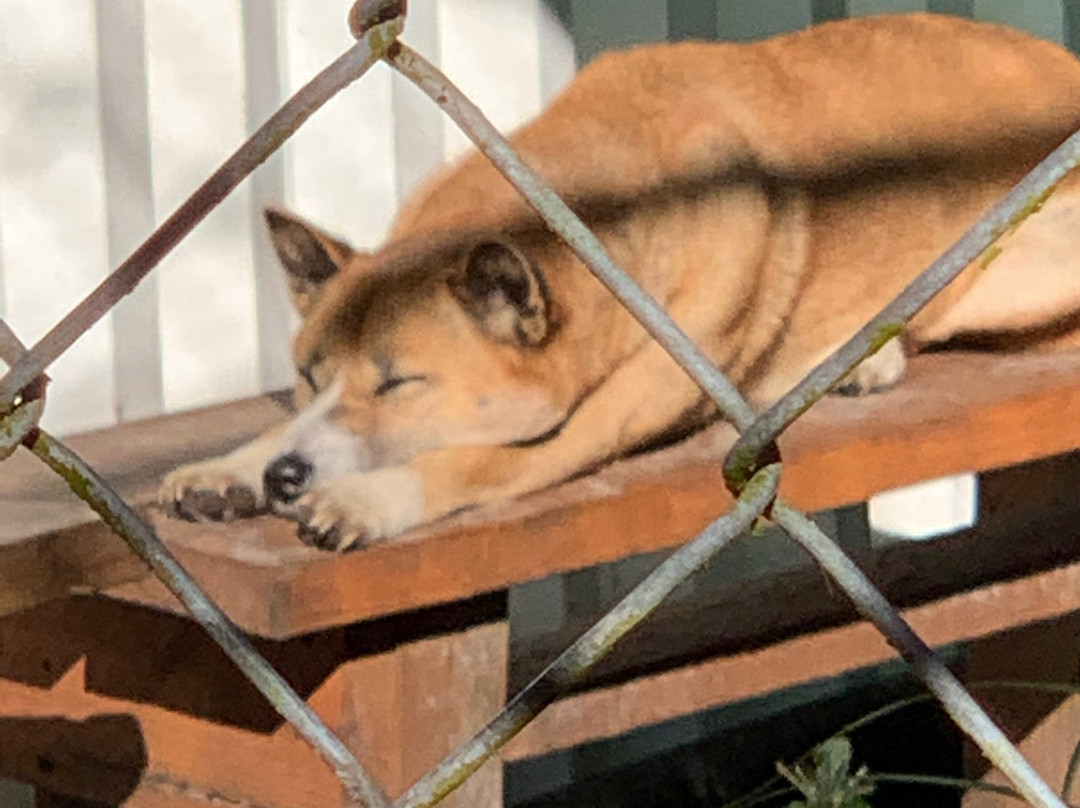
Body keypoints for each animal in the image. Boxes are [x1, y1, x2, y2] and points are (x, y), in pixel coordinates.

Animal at [159, 14, 1080, 548]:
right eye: (308, 376)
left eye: (400, 384)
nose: (285, 481)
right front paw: (231, 468)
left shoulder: (604, 417)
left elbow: (477, 464)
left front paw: (368, 500)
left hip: (1023, 267)